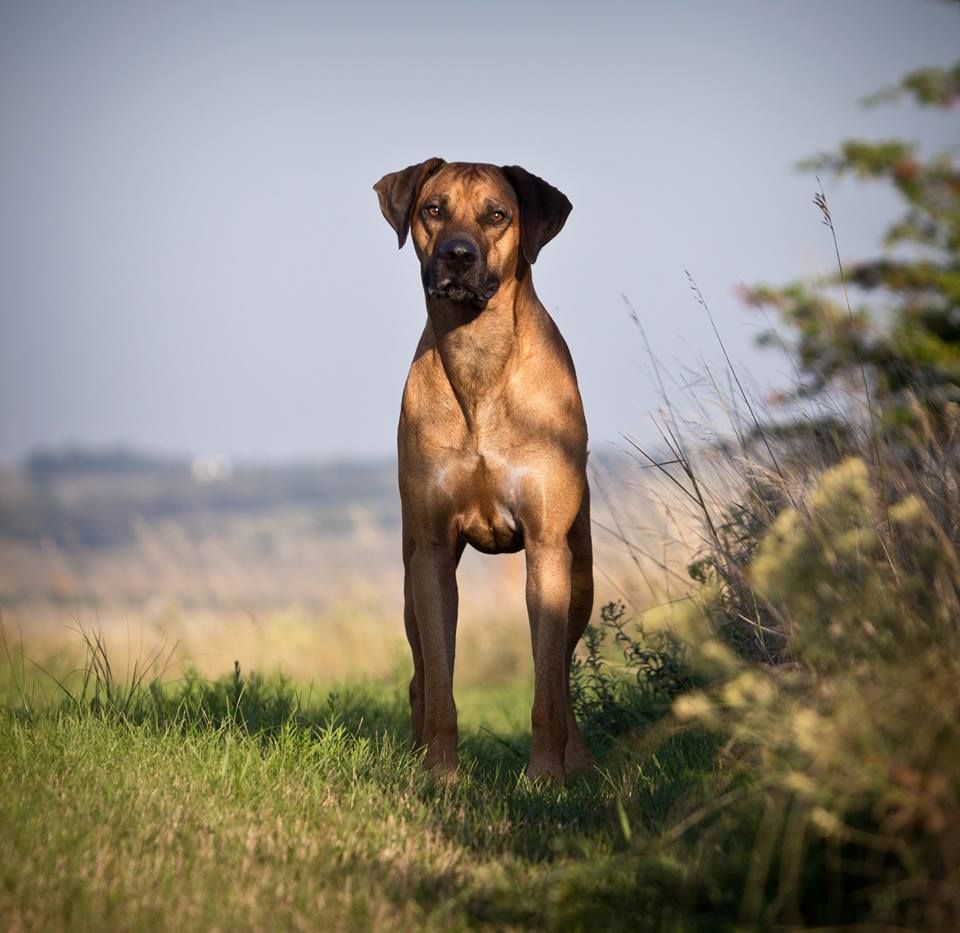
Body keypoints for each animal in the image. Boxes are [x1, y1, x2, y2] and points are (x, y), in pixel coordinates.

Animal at [374, 158, 592, 780]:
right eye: (433, 209)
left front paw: (544, 777)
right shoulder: (431, 552)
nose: (457, 256)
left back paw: (579, 763)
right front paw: (441, 775)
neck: (478, 357)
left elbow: (547, 690)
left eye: (497, 215)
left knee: (562, 677)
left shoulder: (547, 546)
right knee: (421, 676)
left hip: (581, 577)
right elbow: (441, 685)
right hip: (409, 582)